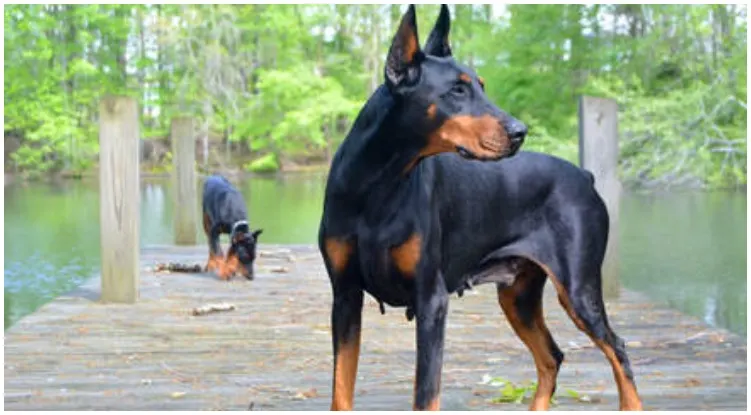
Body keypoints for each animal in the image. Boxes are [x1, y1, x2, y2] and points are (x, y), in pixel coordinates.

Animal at [320, 4, 644, 412]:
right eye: (457, 89)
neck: (376, 187)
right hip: (518, 296)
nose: (520, 131)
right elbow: (340, 389)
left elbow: (426, 395)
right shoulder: (345, 295)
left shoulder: (431, 300)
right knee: (552, 356)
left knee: (618, 349)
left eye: (482, 85)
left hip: (578, 288)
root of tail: (585, 176)